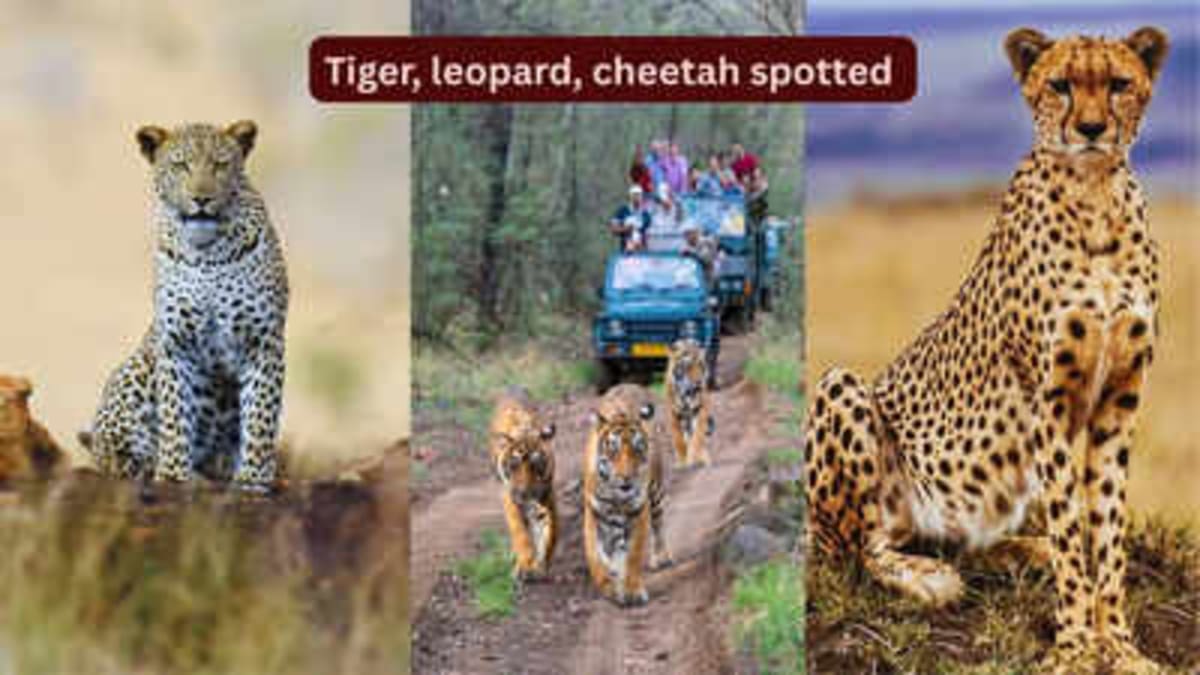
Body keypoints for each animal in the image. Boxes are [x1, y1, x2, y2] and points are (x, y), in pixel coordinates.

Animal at [80, 120, 289, 491]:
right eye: (181, 166)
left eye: (220, 165)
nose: (202, 198)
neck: (206, 253)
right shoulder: (174, 342)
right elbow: (175, 411)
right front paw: (174, 474)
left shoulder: (263, 340)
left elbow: (261, 414)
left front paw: (252, 478)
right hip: (135, 368)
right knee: (114, 452)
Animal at [489, 387, 558, 580]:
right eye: (514, 465)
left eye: (536, 465)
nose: (525, 492)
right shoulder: (509, 496)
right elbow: (520, 531)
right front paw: (526, 564)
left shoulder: (546, 494)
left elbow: (551, 530)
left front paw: (542, 563)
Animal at [582, 383, 672, 606]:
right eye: (613, 450)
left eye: (637, 449)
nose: (626, 477)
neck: (616, 494)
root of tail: (629, 384)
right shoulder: (594, 513)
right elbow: (595, 556)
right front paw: (608, 587)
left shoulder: (638, 511)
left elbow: (633, 555)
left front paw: (633, 591)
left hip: (656, 492)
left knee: (658, 524)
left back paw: (661, 556)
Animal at [664, 339, 714, 468]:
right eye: (688, 366)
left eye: (700, 365)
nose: (699, 382)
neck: (686, 393)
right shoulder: (673, 413)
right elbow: (678, 439)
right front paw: (682, 462)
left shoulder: (700, 409)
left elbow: (697, 437)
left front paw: (692, 459)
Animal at [804, 26, 1169, 674]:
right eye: (1061, 84)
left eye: (1120, 84)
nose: (1092, 129)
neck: (1096, 195)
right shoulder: (1049, 401)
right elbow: (1074, 532)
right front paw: (1076, 647)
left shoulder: (1118, 403)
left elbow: (1105, 529)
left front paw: (1120, 646)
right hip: (841, 390)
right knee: (859, 549)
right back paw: (926, 576)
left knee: (967, 543)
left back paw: (1023, 550)